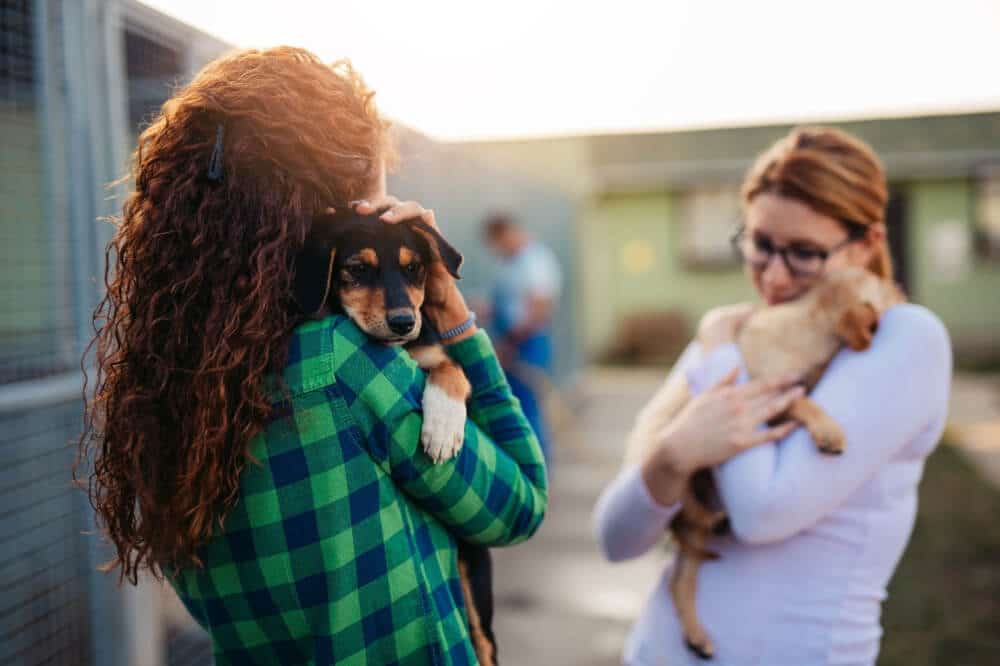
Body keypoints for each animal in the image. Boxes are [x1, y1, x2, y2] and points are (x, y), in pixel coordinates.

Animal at [292, 208, 500, 664]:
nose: (405, 322)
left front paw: (442, 430)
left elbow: (452, 370)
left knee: (484, 641)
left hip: (476, 572)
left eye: (414, 269)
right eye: (357, 269)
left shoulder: (436, 353)